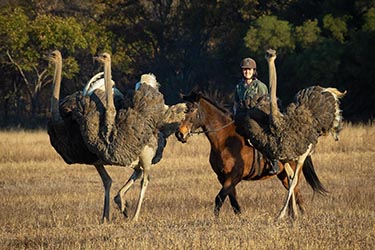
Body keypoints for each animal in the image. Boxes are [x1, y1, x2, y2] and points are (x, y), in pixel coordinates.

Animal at [175, 91, 328, 219]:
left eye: (192, 109)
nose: (179, 134)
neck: (224, 141)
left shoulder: (234, 176)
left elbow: (219, 198)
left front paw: (216, 220)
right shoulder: (223, 177)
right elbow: (233, 201)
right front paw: (240, 219)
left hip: (292, 172)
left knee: (295, 191)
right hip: (283, 175)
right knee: (294, 193)